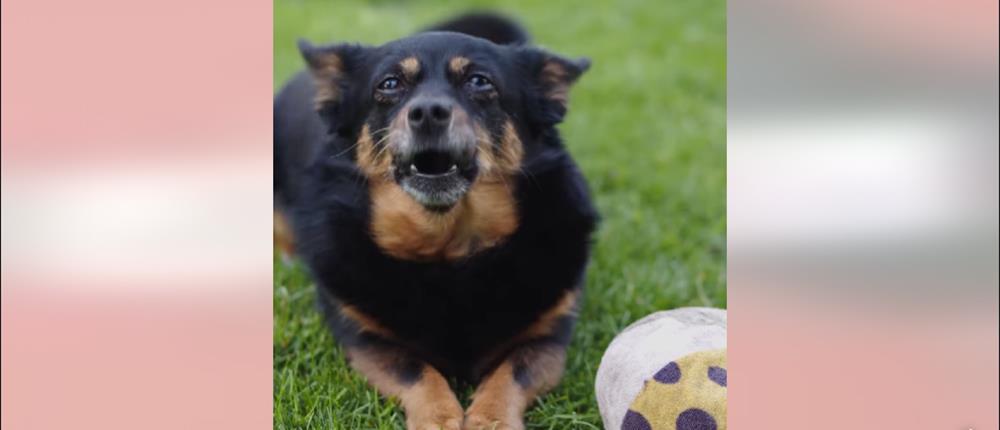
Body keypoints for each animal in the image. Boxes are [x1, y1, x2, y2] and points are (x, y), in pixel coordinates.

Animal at [274, 13, 596, 430]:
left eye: (480, 81)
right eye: (389, 84)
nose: (428, 113)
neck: (448, 252)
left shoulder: (549, 337)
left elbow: (509, 373)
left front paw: (491, 419)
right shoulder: (364, 339)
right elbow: (417, 370)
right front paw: (439, 417)